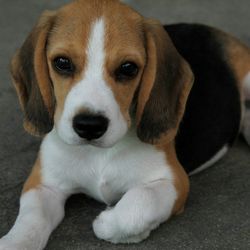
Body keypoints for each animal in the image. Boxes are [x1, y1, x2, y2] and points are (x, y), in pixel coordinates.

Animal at [0, 0, 250, 248]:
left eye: (128, 68)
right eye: (62, 62)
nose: (89, 125)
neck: (97, 153)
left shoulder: (175, 181)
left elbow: (139, 202)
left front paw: (111, 224)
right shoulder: (42, 185)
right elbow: (31, 220)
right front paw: (15, 241)